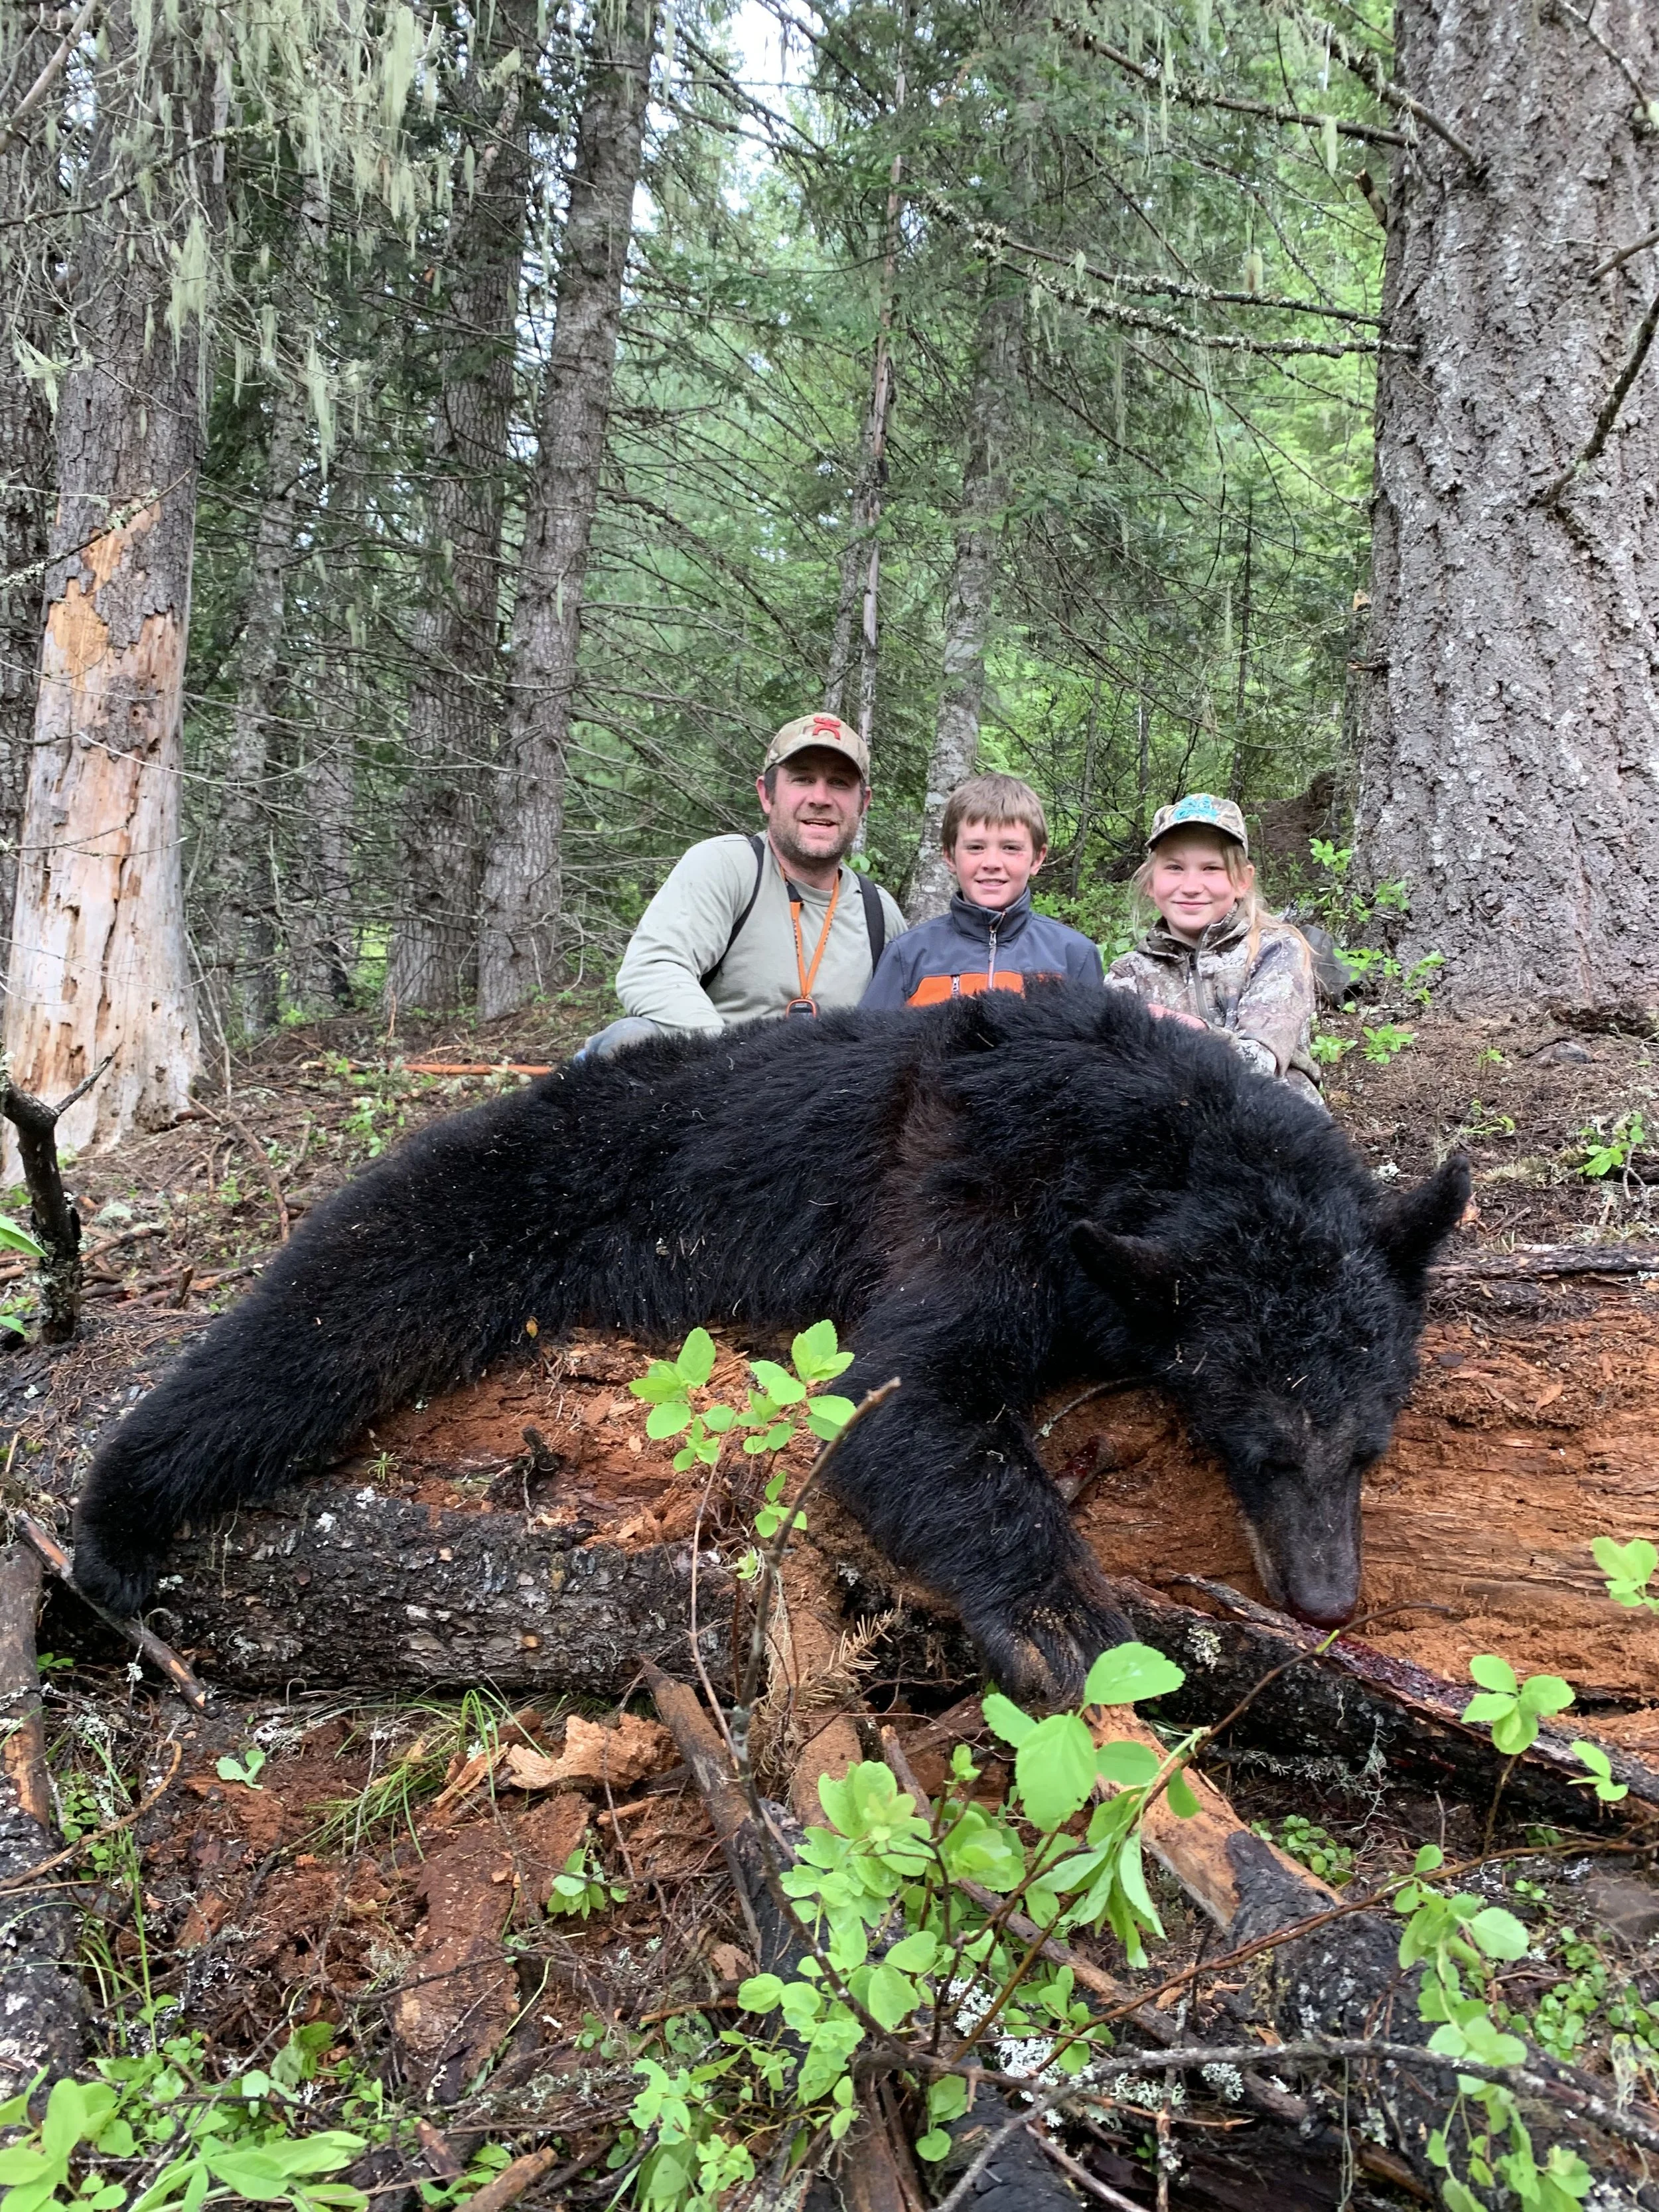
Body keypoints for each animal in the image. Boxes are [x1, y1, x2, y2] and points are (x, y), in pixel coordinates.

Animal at [72, 986, 1468, 1699]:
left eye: (1369, 1443)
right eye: (1260, 1441)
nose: (1328, 1598)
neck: (1163, 1142)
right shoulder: (986, 1195)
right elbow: (898, 1396)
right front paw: (1063, 1618)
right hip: (522, 1187)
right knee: (326, 1308)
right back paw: (116, 1516)